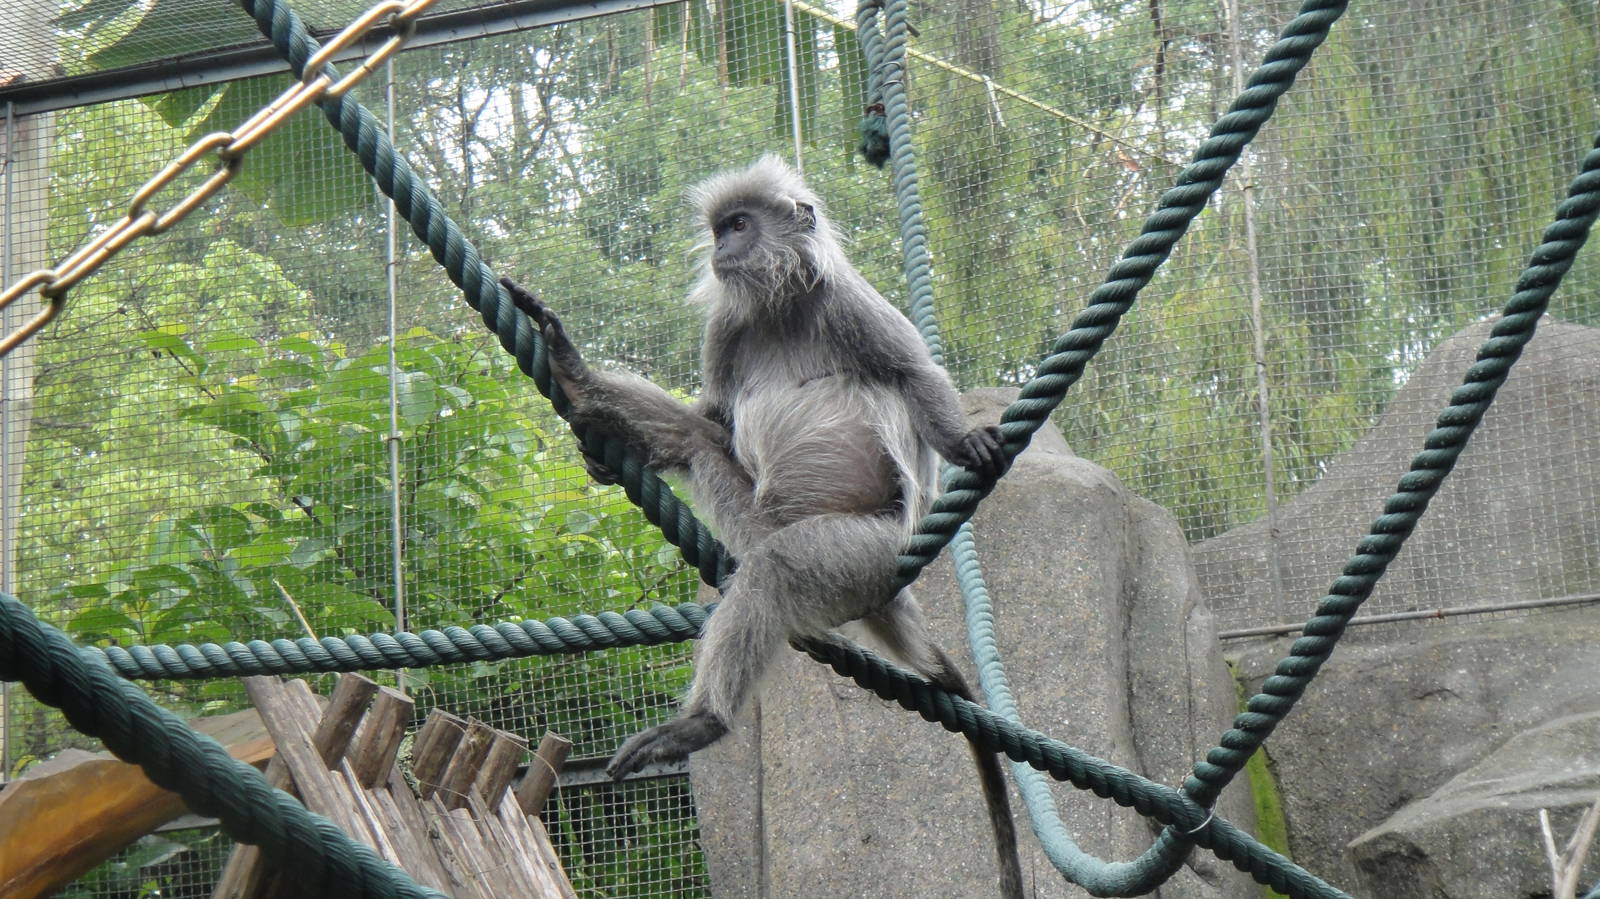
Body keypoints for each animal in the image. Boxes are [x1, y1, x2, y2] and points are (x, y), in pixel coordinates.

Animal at [501, 154, 1022, 897]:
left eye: (740, 225)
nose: (722, 248)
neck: (782, 309)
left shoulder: (850, 302)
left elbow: (913, 374)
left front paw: (961, 440)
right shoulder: (728, 325)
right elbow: (715, 420)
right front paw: (580, 387)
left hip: (861, 554)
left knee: (779, 567)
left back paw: (700, 724)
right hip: (757, 521)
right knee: (698, 445)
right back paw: (581, 387)